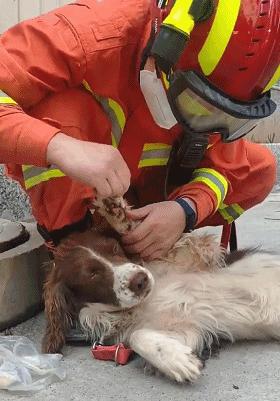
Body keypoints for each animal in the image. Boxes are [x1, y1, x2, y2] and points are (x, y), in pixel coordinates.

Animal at [42, 197, 280, 382]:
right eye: (91, 274)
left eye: (115, 248)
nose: (140, 280)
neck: (148, 299)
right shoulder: (187, 329)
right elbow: (138, 336)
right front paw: (178, 361)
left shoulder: (194, 255)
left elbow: (140, 230)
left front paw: (115, 212)